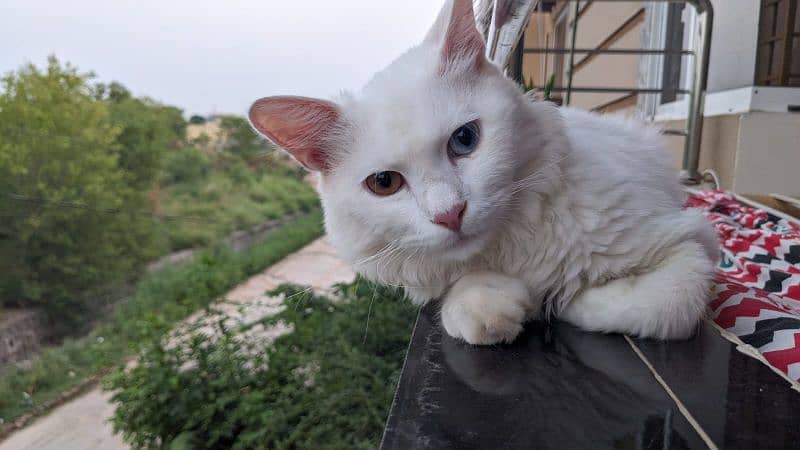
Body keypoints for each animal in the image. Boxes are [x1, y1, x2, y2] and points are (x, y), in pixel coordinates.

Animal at [247, 0, 716, 344]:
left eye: (465, 139)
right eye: (384, 183)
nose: (449, 214)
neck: (514, 247)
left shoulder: (692, 240)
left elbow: (668, 304)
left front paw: (573, 301)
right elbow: (470, 299)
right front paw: (494, 304)